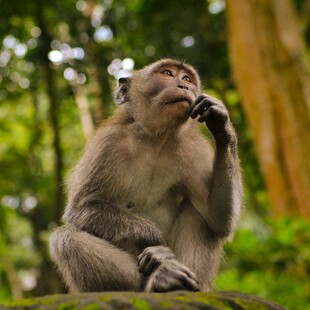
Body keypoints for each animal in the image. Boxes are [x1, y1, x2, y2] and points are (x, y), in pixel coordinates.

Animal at [50, 58, 242, 294]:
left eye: (187, 78)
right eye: (167, 73)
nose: (184, 86)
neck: (155, 140)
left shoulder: (194, 150)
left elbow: (218, 218)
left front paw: (221, 123)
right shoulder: (107, 145)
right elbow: (82, 208)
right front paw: (158, 244)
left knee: (199, 214)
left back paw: (185, 284)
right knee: (65, 238)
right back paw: (159, 279)